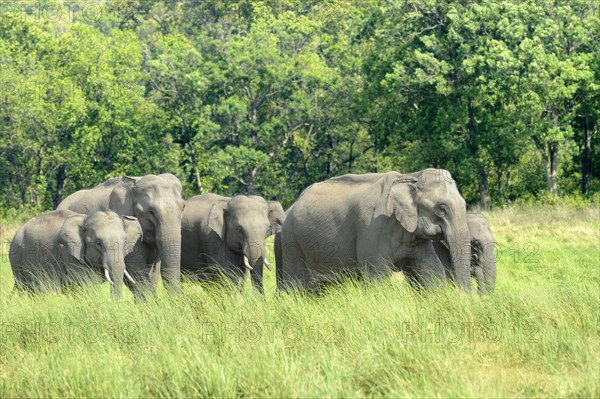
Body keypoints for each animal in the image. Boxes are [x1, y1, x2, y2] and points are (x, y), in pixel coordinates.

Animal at [9, 209, 143, 300]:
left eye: (125, 241)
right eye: (98, 243)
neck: (86, 218)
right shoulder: (69, 253)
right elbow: (81, 284)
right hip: (16, 258)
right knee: (26, 289)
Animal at [276, 170, 474, 294]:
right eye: (441, 209)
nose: (463, 297)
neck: (410, 176)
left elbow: (432, 271)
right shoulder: (373, 227)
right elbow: (376, 275)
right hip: (292, 244)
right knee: (297, 288)